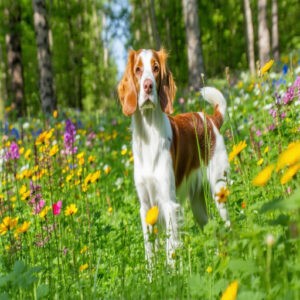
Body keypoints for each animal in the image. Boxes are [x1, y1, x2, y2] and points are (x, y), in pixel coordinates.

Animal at [117, 48, 230, 264]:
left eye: (155, 68)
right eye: (138, 69)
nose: (148, 85)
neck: (149, 136)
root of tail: (211, 119)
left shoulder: (169, 203)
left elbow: (171, 250)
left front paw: (172, 272)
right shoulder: (146, 207)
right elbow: (150, 252)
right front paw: (152, 274)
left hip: (219, 189)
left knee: (230, 224)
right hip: (198, 205)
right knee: (212, 228)